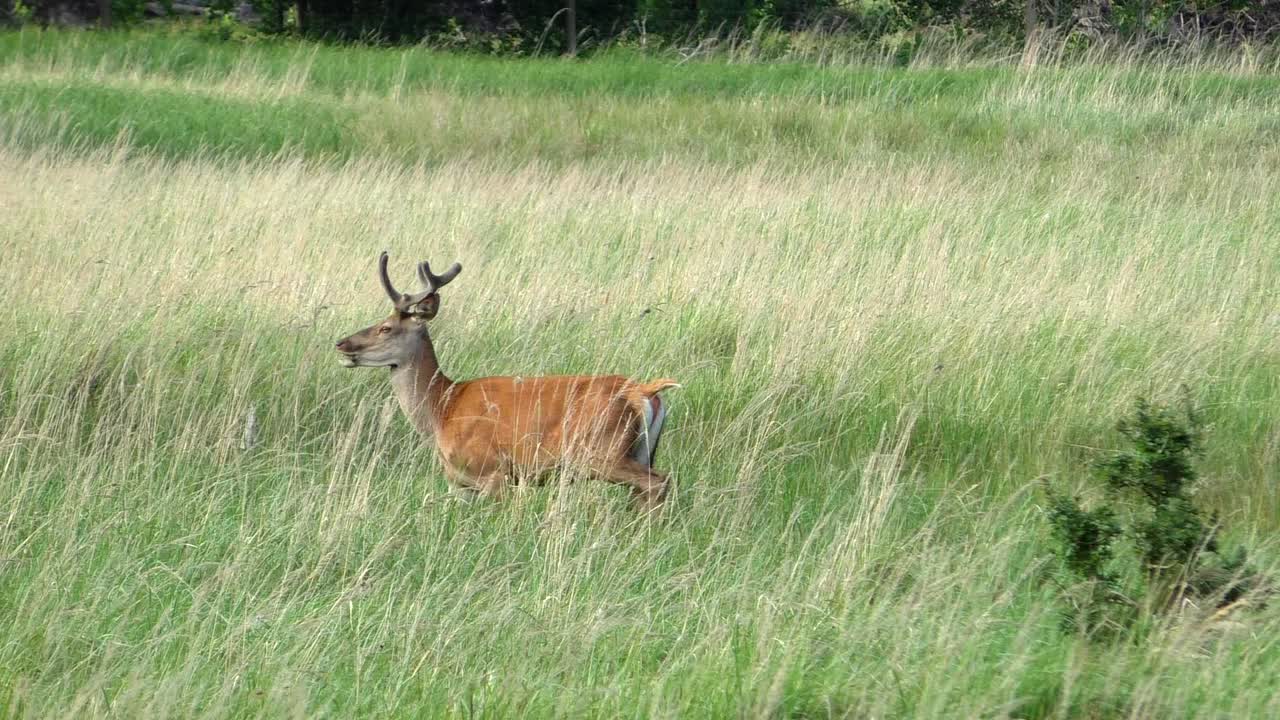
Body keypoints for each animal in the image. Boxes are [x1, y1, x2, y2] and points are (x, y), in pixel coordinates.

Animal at [334, 252, 679, 511]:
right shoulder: (461, 485)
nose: (341, 343)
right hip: (640, 450)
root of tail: (643, 391)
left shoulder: (492, 471)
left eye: (386, 328)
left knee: (659, 482)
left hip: (602, 452)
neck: (442, 409)